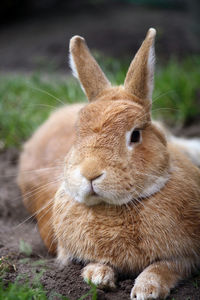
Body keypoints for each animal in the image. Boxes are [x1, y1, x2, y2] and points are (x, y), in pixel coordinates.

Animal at [17, 27, 200, 298]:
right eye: (77, 133)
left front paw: (146, 290)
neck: (116, 208)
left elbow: (164, 267)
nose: (90, 173)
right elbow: (93, 263)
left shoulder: (187, 256)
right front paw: (99, 277)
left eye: (135, 135)